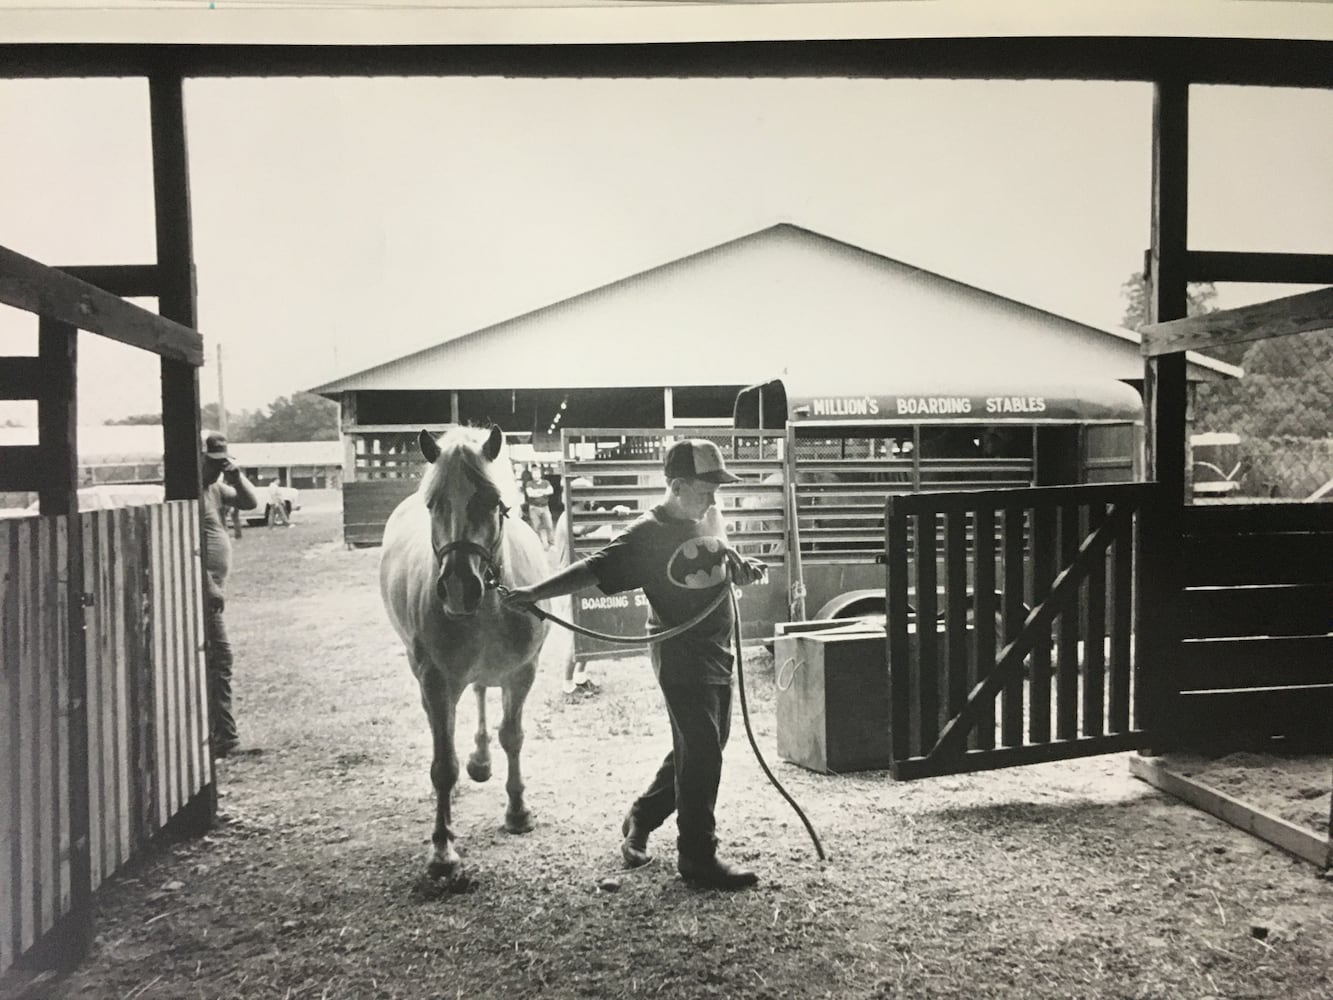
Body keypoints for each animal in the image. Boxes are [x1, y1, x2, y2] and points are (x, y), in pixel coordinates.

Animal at [381, 426, 551, 880]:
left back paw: (480, 760)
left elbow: (512, 736)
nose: (459, 588)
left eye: (493, 502)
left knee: (478, 693)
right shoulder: (437, 681)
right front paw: (443, 849)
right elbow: (442, 766)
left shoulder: (521, 673)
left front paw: (517, 811)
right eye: (433, 503)